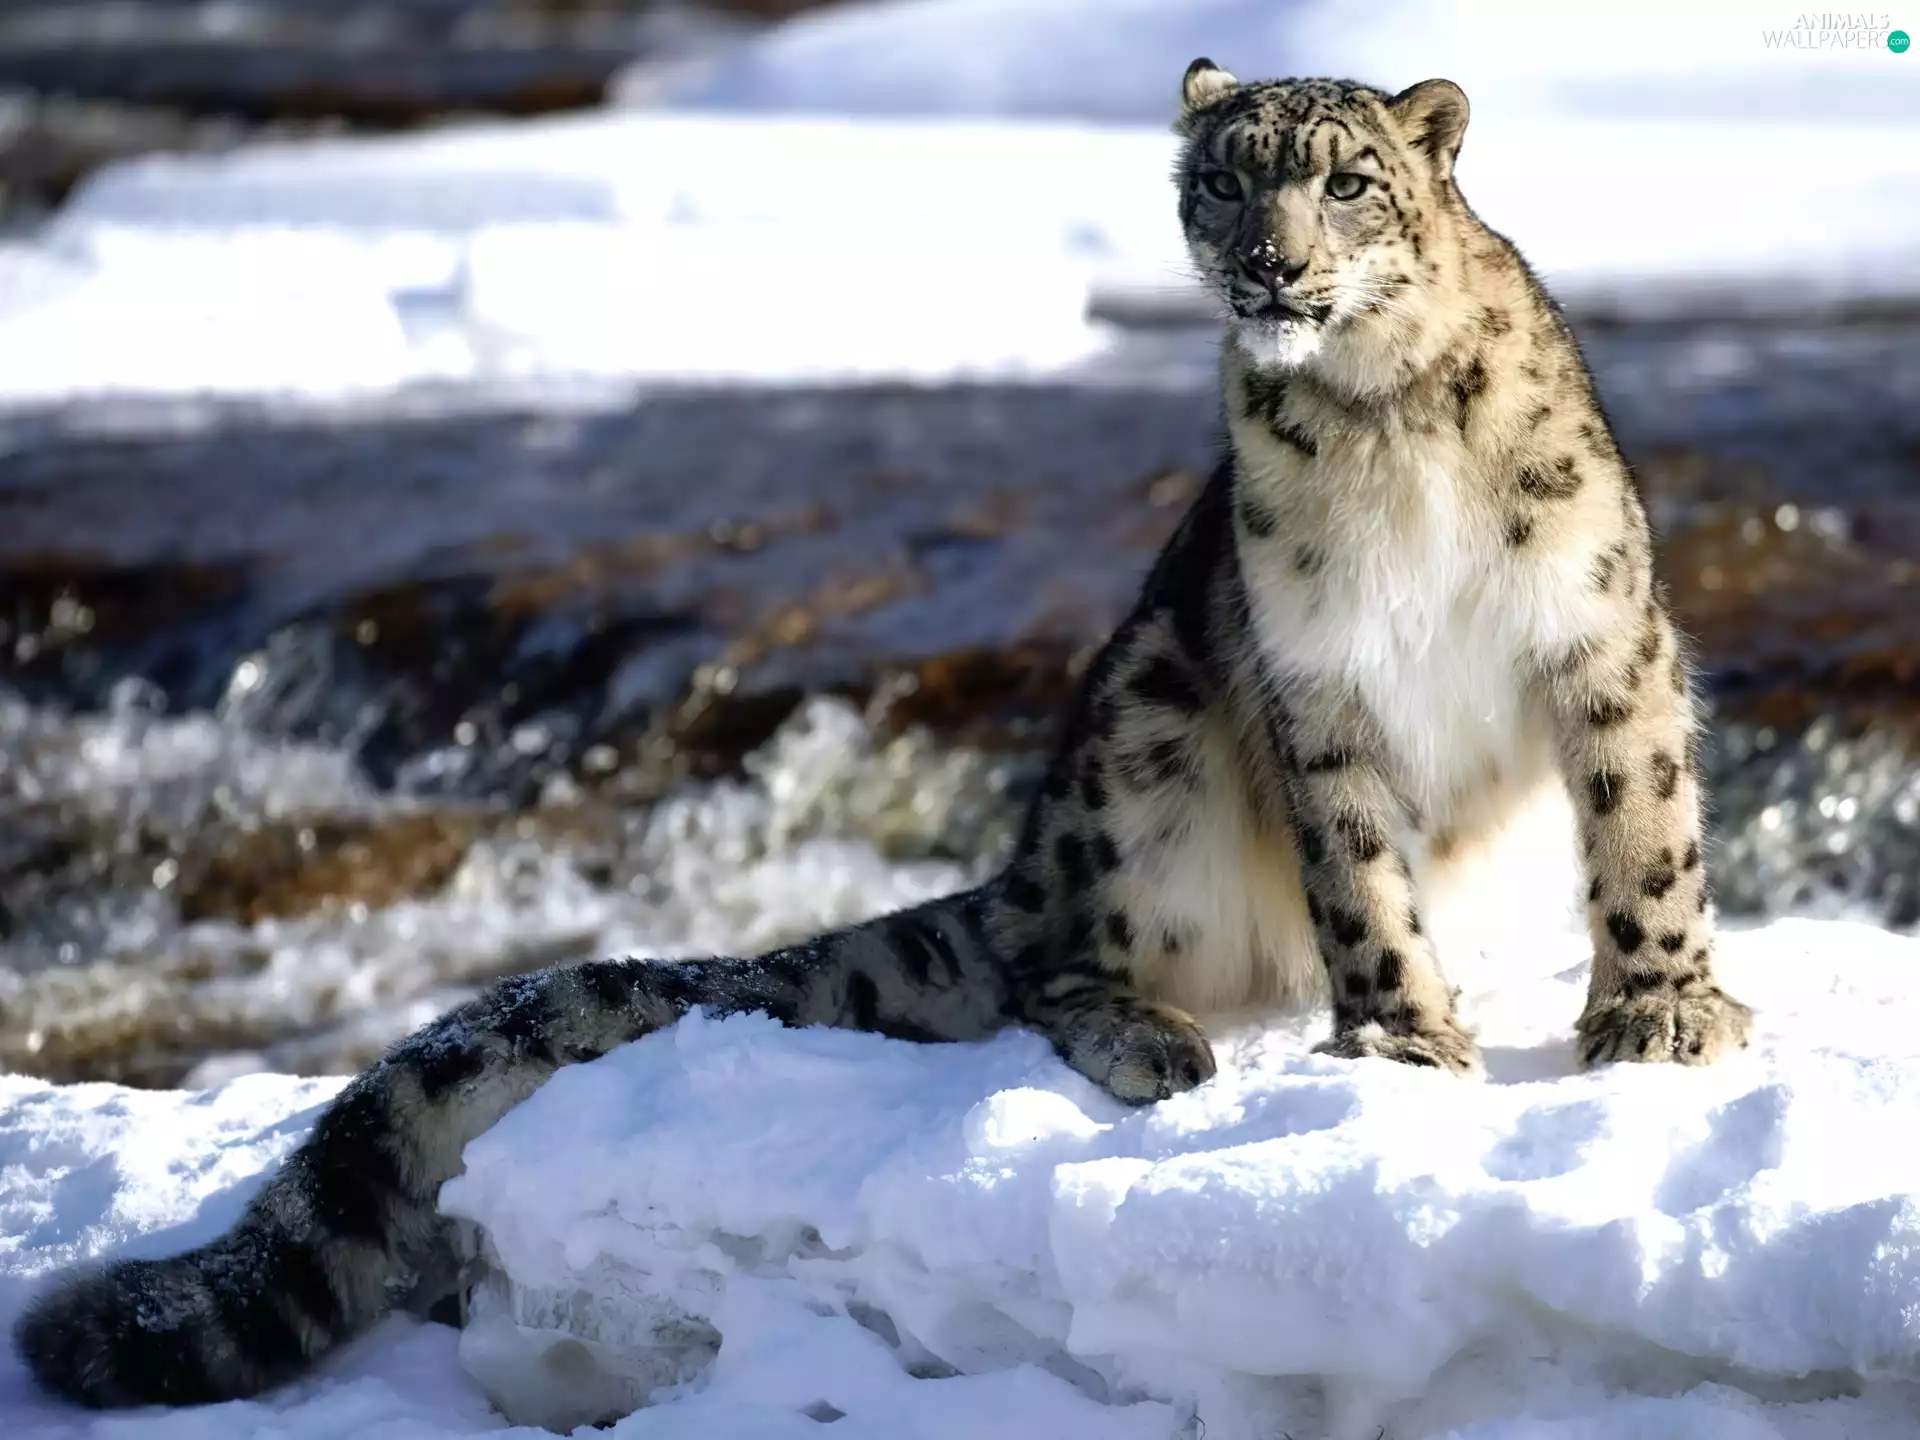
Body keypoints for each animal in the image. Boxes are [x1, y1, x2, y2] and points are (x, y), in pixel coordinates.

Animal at [15, 60, 1750, 1409]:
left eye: (1347, 181)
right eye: (1224, 183)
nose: (1270, 267)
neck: (1385, 426)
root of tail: (1030, 862)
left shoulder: (1600, 631)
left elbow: (1645, 824)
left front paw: (1661, 1010)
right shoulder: (1313, 684)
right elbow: (1360, 880)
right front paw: (1400, 1040)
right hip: (1144, 730)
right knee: (1059, 961)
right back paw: (1150, 1033)